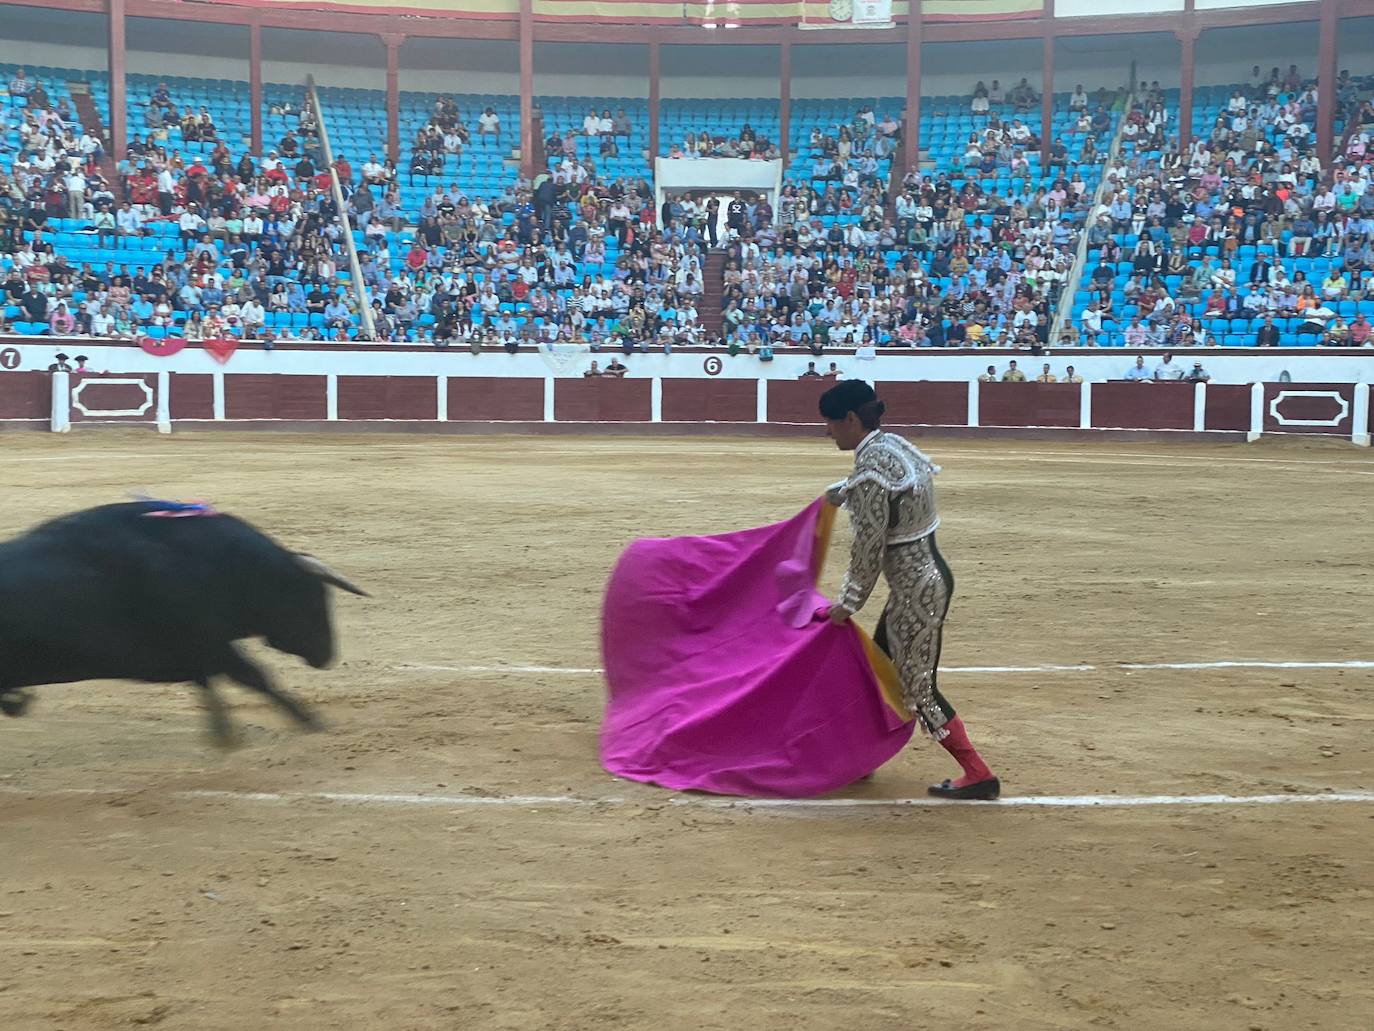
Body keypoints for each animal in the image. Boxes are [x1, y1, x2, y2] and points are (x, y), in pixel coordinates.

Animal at [0, 503, 368, 736]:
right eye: (313, 597)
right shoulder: (210, 643)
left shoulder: (200, 652)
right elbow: (256, 677)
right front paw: (311, 721)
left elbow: (212, 683)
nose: (327, 654)